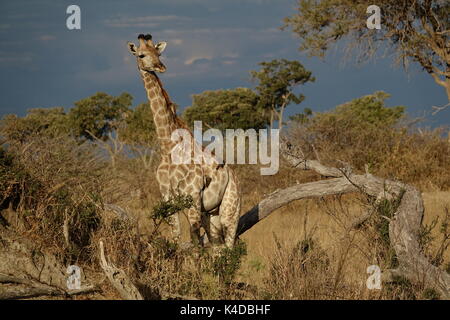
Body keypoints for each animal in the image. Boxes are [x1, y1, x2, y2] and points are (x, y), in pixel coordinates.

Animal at [125, 33, 239, 249]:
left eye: (158, 53)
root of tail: (234, 176)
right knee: (217, 247)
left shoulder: (193, 196)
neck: (168, 146)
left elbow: (194, 243)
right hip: (212, 214)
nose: (161, 67)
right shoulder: (167, 196)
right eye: (142, 55)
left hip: (231, 209)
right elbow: (177, 237)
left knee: (229, 245)